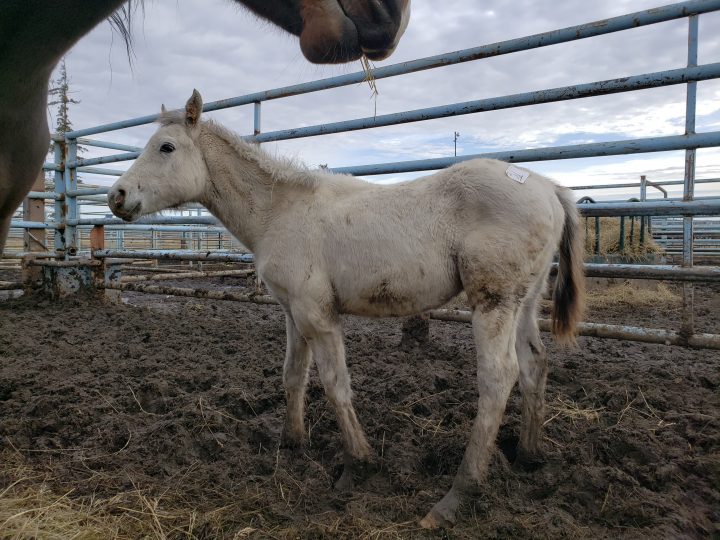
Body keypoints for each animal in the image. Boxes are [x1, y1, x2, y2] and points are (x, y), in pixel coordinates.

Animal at [107, 90, 585, 528]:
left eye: (166, 147)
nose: (116, 195)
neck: (281, 211)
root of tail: (548, 188)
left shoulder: (318, 315)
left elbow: (336, 385)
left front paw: (359, 464)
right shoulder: (292, 313)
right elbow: (293, 376)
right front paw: (292, 443)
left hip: (493, 304)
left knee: (499, 377)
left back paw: (456, 496)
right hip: (523, 303)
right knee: (534, 364)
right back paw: (528, 456)